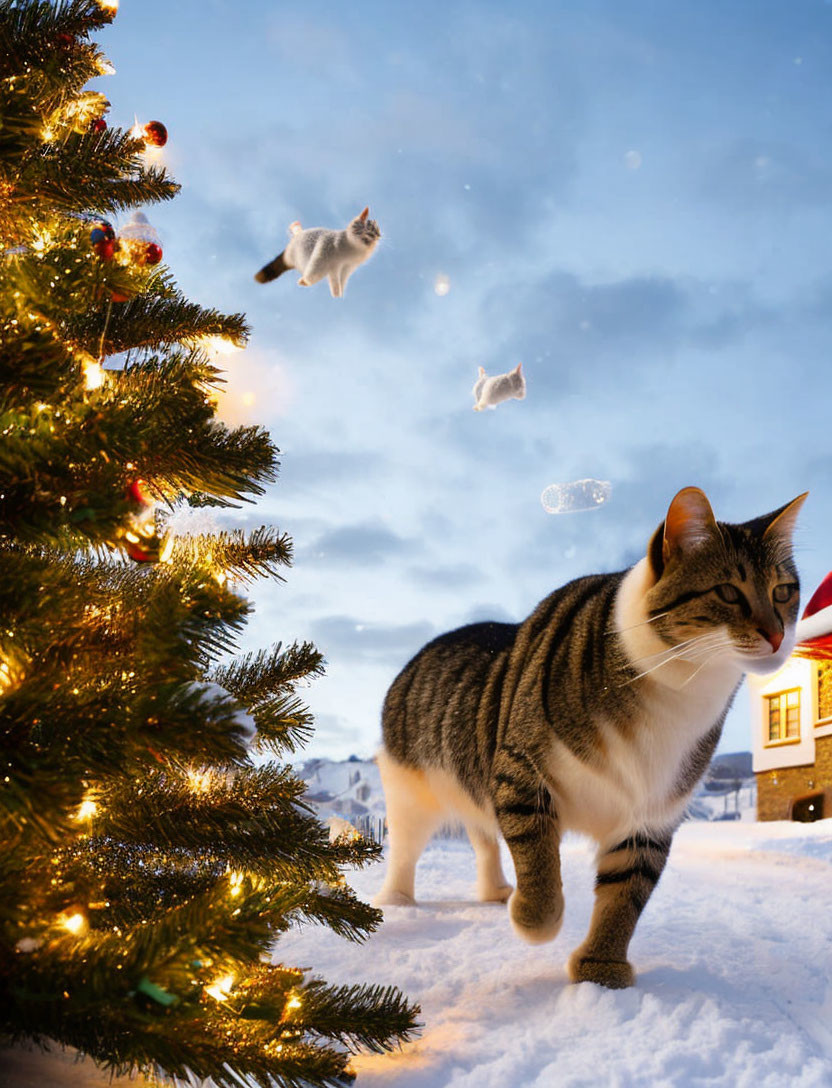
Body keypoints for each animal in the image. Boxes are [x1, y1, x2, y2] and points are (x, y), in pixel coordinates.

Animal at [374, 489, 804, 992]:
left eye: (783, 592)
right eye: (728, 592)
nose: (777, 635)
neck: (680, 688)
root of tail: (420, 654)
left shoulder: (652, 811)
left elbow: (624, 896)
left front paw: (601, 968)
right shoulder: (520, 772)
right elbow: (538, 861)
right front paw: (533, 919)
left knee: (483, 836)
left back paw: (495, 890)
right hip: (409, 785)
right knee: (407, 844)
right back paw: (398, 900)